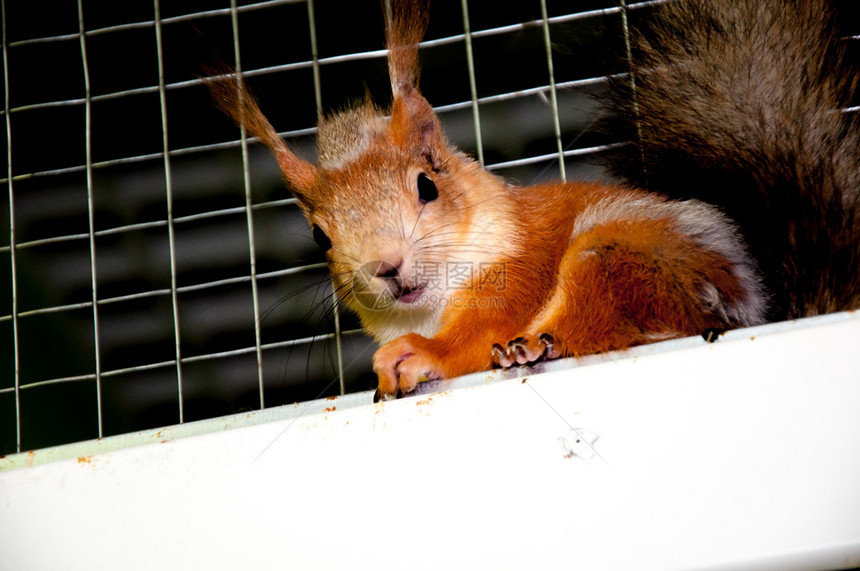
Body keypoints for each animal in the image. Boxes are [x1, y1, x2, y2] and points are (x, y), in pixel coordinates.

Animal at [207, 0, 792, 402]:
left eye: (427, 186)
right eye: (319, 235)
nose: (386, 266)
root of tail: (746, 301)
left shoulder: (518, 269)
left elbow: (478, 332)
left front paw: (422, 354)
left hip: (616, 258)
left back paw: (536, 346)